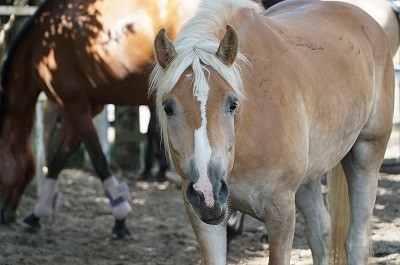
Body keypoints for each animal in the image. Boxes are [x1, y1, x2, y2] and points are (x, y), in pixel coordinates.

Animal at [0, 0, 200, 236]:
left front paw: (120, 218)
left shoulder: (73, 105)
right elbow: (59, 158)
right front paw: (36, 214)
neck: (43, 41)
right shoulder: (81, 108)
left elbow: (97, 158)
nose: (4, 214)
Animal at [150, 0, 394, 262]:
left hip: (367, 154)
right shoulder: (202, 216)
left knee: (356, 241)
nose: (207, 190)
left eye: (232, 104)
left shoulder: (281, 211)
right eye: (168, 107)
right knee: (320, 234)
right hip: (309, 178)